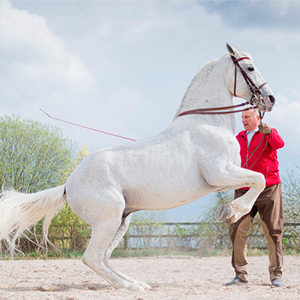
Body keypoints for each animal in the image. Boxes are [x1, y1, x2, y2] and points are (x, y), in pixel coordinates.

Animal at [0, 44, 276, 290]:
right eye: (250, 68)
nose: (270, 99)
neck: (207, 123)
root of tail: (68, 184)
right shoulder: (219, 174)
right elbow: (259, 179)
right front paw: (233, 211)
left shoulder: (226, 177)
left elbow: (257, 179)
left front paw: (231, 209)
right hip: (108, 220)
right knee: (93, 258)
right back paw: (131, 287)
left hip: (121, 221)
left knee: (104, 258)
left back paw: (135, 283)